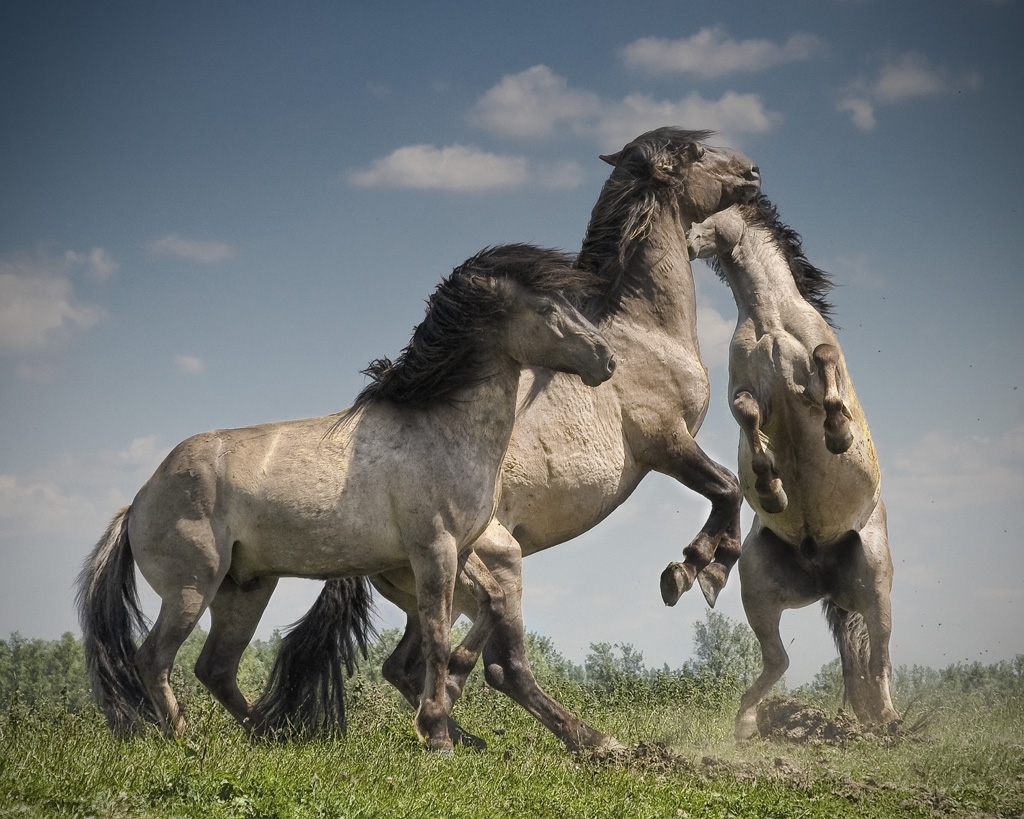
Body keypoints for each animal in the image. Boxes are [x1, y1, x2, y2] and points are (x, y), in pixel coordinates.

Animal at [75, 241, 614, 749]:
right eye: (545, 308)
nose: (606, 360)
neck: (441, 429)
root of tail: (137, 502)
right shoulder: (434, 550)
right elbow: (439, 639)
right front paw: (439, 733)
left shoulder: (458, 553)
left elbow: (489, 604)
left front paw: (450, 697)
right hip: (191, 588)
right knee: (154, 660)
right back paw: (186, 740)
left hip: (244, 589)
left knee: (215, 668)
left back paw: (270, 733)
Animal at [264, 126, 761, 749]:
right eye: (696, 153)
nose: (752, 173)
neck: (643, 331)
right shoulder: (666, 444)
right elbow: (728, 488)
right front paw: (696, 571)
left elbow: (728, 490)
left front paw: (699, 567)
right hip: (495, 564)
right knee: (501, 666)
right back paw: (589, 740)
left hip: (437, 591)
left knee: (411, 663)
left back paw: (464, 734)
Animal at [684, 198, 901, 741]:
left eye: (712, 209)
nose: (689, 241)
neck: (772, 321)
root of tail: (822, 573)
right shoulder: (744, 391)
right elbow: (748, 414)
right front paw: (772, 488)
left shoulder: (821, 367)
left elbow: (824, 364)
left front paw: (838, 433)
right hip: (758, 588)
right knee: (779, 661)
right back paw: (744, 725)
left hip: (876, 586)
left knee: (878, 659)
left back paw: (887, 722)